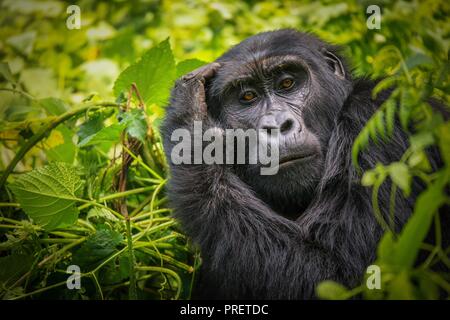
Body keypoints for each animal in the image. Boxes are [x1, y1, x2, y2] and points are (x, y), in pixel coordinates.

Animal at [160, 28, 448, 298]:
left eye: (287, 83)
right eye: (248, 97)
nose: (277, 125)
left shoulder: (381, 116)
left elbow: (339, 274)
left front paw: (190, 127)